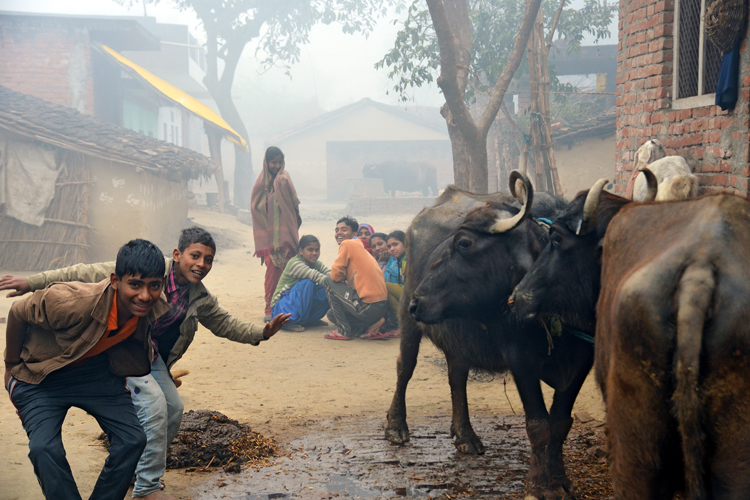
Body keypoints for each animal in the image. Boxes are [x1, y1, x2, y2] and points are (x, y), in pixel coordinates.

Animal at [388, 173, 592, 500]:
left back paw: (465, 435)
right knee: (405, 367)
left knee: (457, 378)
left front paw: (560, 480)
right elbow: (539, 425)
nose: (419, 301)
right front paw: (538, 485)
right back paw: (396, 426)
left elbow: (560, 424)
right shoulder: (520, 358)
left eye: (464, 243)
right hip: (407, 318)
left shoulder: (583, 362)